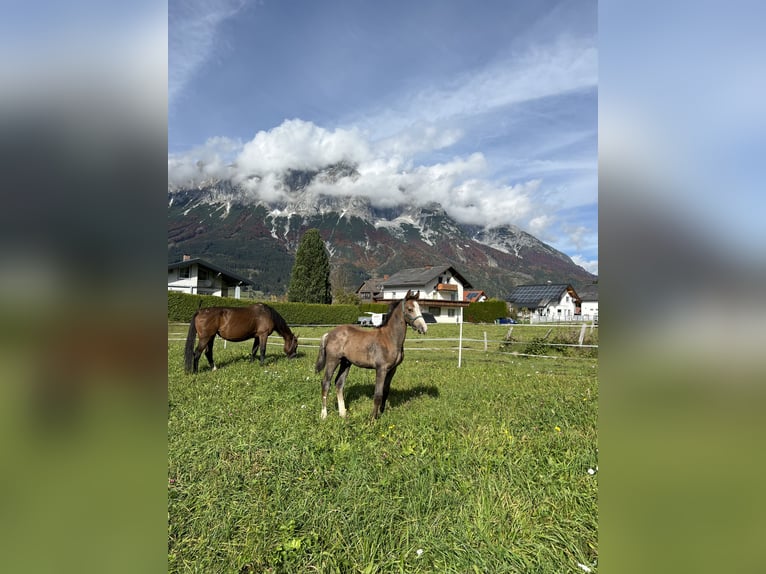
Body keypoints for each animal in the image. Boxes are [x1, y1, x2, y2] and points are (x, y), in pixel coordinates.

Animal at [316, 290, 428, 420]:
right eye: (410, 309)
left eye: (420, 308)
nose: (424, 328)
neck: (390, 338)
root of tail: (329, 334)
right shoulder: (381, 369)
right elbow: (378, 394)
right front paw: (373, 418)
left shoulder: (392, 369)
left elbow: (386, 391)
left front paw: (382, 412)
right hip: (333, 360)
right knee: (326, 383)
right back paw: (324, 414)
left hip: (346, 362)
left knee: (339, 383)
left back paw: (343, 413)